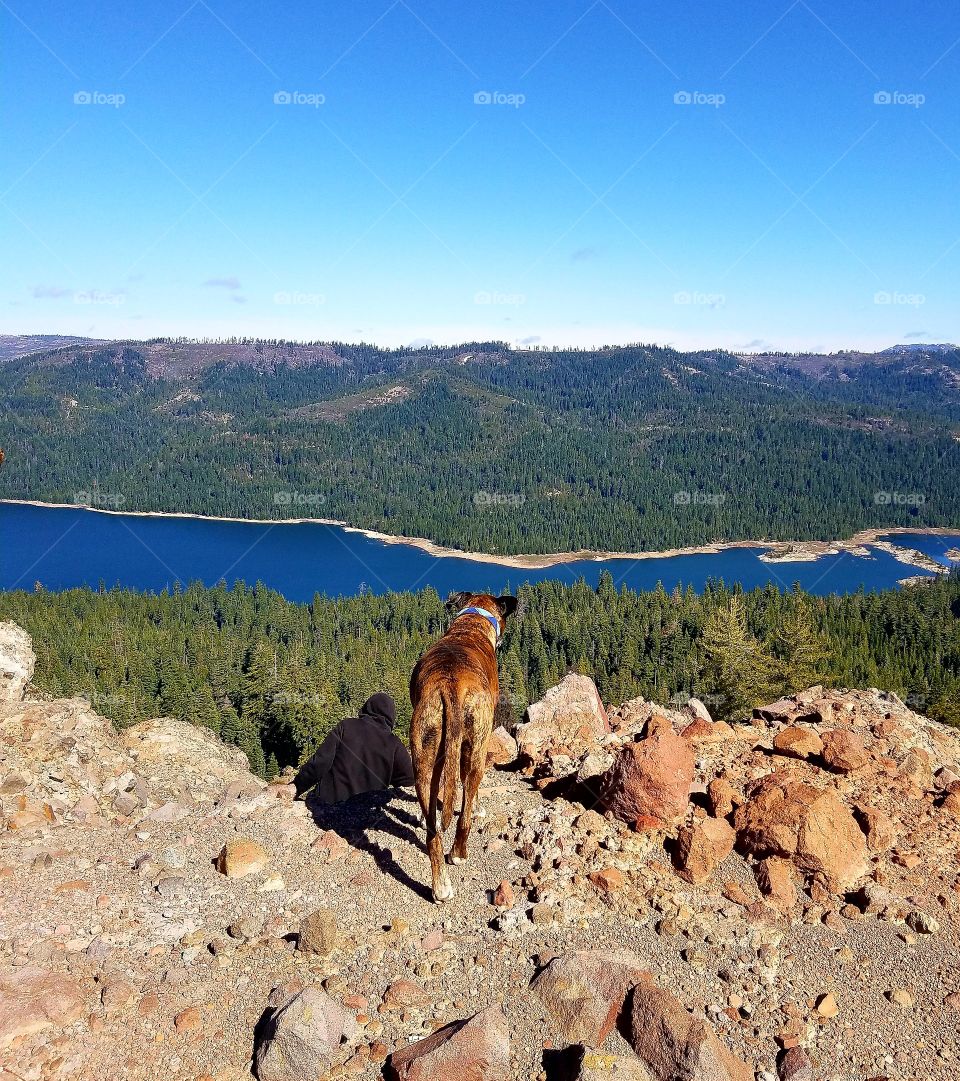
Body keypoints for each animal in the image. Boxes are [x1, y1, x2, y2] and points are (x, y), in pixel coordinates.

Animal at [410, 592, 521, 903]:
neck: (470, 625)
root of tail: (452, 685)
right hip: (477, 749)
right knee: (466, 807)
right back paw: (458, 853)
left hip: (423, 752)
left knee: (433, 834)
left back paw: (440, 885)